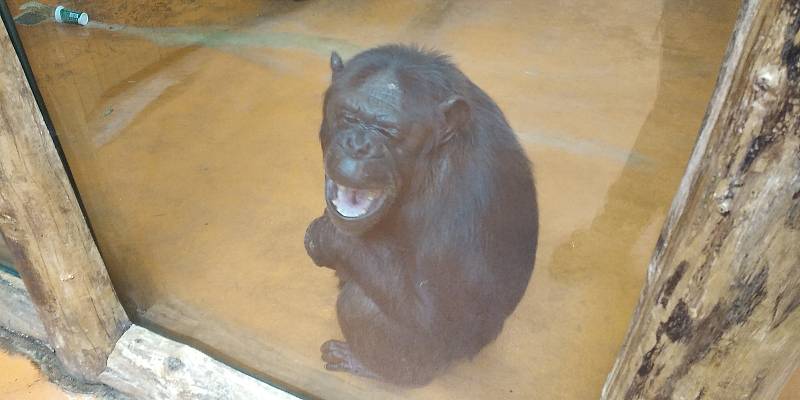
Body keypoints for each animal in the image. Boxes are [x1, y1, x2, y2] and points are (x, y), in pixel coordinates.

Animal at [304, 45, 536, 386]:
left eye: (389, 131)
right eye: (349, 117)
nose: (358, 145)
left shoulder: (462, 198)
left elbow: (436, 314)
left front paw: (327, 237)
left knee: (360, 305)